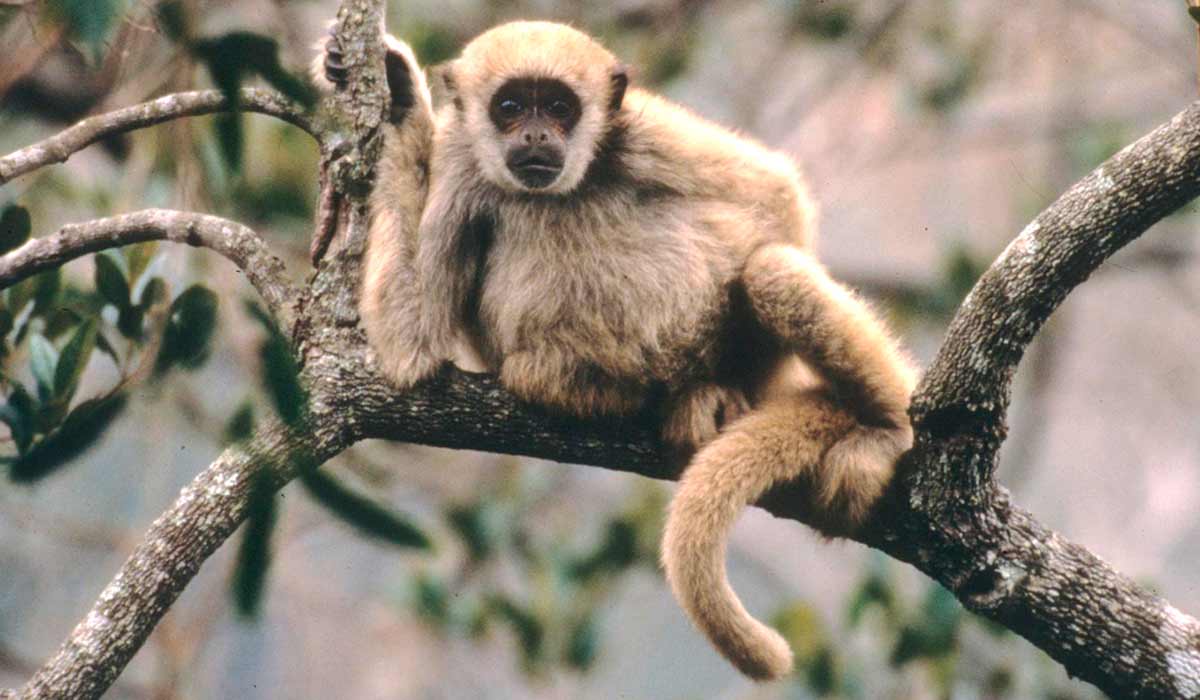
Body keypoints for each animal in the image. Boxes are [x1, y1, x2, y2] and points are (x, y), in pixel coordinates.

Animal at [314, 20, 912, 677]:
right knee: (532, 367)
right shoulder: (459, 163)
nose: (535, 134)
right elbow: (411, 353)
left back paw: (880, 426)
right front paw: (398, 94)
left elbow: (779, 196)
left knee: (771, 270)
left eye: (558, 107)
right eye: (509, 107)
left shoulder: (642, 133)